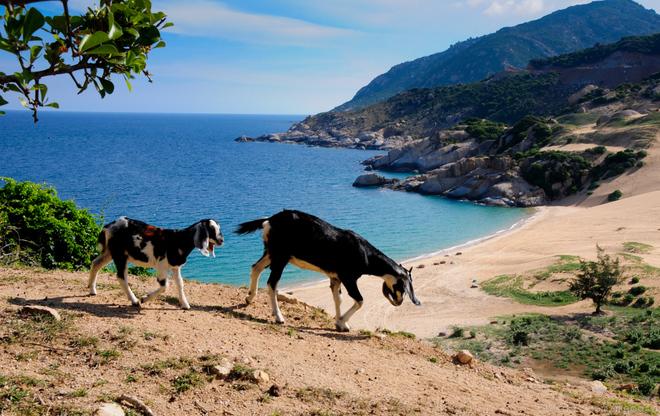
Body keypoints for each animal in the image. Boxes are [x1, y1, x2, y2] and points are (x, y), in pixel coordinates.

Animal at [87, 218, 224, 308]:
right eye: (211, 229)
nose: (221, 240)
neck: (178, 240)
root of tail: (108, 227)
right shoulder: (162, 266)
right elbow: (165, 286)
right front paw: (144, 299)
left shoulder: (175, 266)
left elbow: (180, 284)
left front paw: (185, 304)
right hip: (120, 254)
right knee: (121, 276)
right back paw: (134, 301)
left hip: (110, 252)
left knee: (96, 263)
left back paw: (92, 289)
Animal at [237, 211, 420, 332]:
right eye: (403, 286)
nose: (399, 302)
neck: (365, 254)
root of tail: (270, 220)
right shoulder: (348, 278)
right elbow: (359, 300)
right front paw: (343, 322)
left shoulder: (335, 278)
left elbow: (338, 299)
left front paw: (340, 323)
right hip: (281, 256)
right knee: (272, 283)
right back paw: (279, 317)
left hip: (270, 252)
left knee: (256, 267)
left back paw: (249, 298)